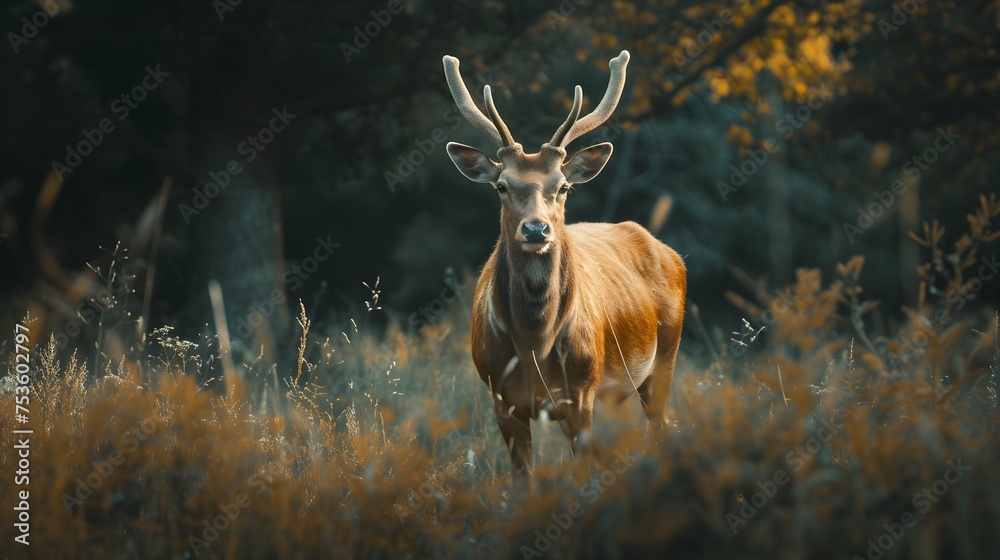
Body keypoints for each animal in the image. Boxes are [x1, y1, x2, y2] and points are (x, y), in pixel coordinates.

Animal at [442, 50, 686, 479]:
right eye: (501, 185)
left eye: (563, 186)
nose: (536, 228)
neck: (535, 346)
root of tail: (673, 255)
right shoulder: (500, 398)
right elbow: (524, 480)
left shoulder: (582, 394)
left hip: (664, 359)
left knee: (661, 430)